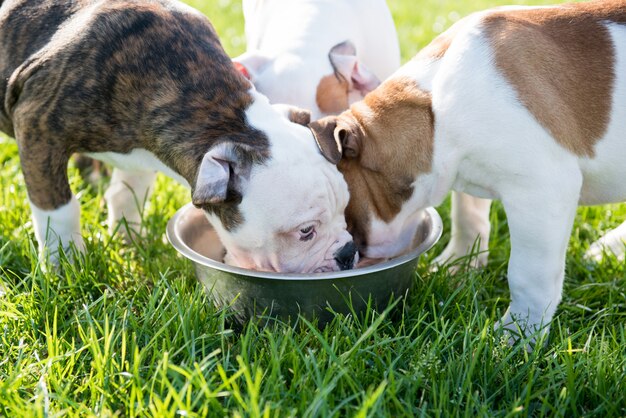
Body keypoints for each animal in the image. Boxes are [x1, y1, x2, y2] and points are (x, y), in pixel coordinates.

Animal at [2, 0, 356, 272]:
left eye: (345, 209)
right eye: (306, 231)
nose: (348, 253)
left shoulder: (148, 144)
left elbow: (127, 195)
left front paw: (128, 242)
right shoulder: (37, 126)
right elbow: (60, 211)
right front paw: (65, 265)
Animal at [310, 0, 624, 336]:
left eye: (347, 218)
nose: (346, 255)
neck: (433, 115)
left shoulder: (541, 192)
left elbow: (527, 274)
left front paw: (516, 332)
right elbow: (468, 218)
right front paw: (460, 264)